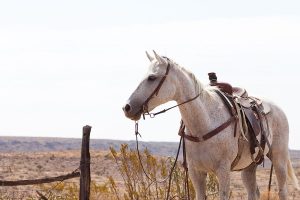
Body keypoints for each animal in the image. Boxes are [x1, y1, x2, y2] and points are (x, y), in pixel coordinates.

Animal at [122, 50, 300, 199]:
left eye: (152, 77)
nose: (127, 107)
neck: (203, 124)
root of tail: (277, 108)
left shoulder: (223, 171)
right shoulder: (196, 172)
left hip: (279, 158)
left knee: (282, 191)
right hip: (249, 166)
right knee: (253, 191)